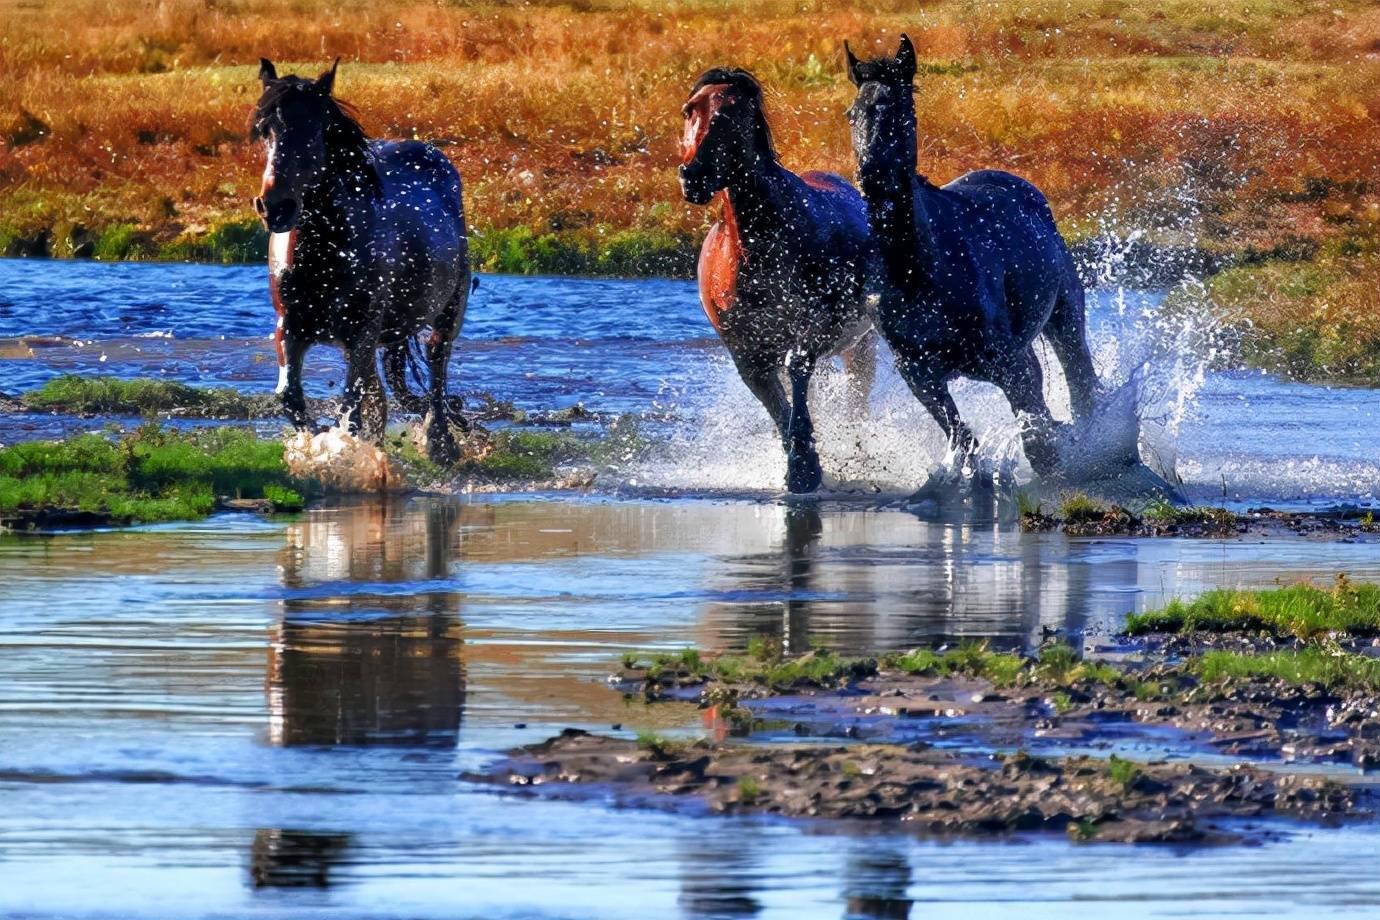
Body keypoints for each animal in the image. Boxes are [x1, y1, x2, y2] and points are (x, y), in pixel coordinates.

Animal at [251, 58, 470, 464]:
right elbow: (291, 397)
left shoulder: (361, 334)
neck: (326, 254)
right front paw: (317, 445)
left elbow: (349, 403)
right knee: (381, 394)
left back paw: (440, 444)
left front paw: (343, 452)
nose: (275, 207)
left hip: (448, 312)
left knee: (436, 369)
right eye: (265, 130)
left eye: (315, 130)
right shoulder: (289, 328)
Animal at [679, 68, 877, 493]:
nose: (692, 176)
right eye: (690, 110)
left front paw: (804, 469)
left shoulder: (812, 331)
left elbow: (797, 372)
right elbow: (778, 405)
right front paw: (799, 463)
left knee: (856, 398)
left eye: (734, 113)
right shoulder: (748, 354)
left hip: (861, 343)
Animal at [844, 36, 1100, 482]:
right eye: (852, 114)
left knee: (1082, 386)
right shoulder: (919, 374)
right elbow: (963, 437)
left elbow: (1039, 441)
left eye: (901, 110)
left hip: (1064, 320)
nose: (872, 178)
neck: (917, 273)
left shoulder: (1012, 365)